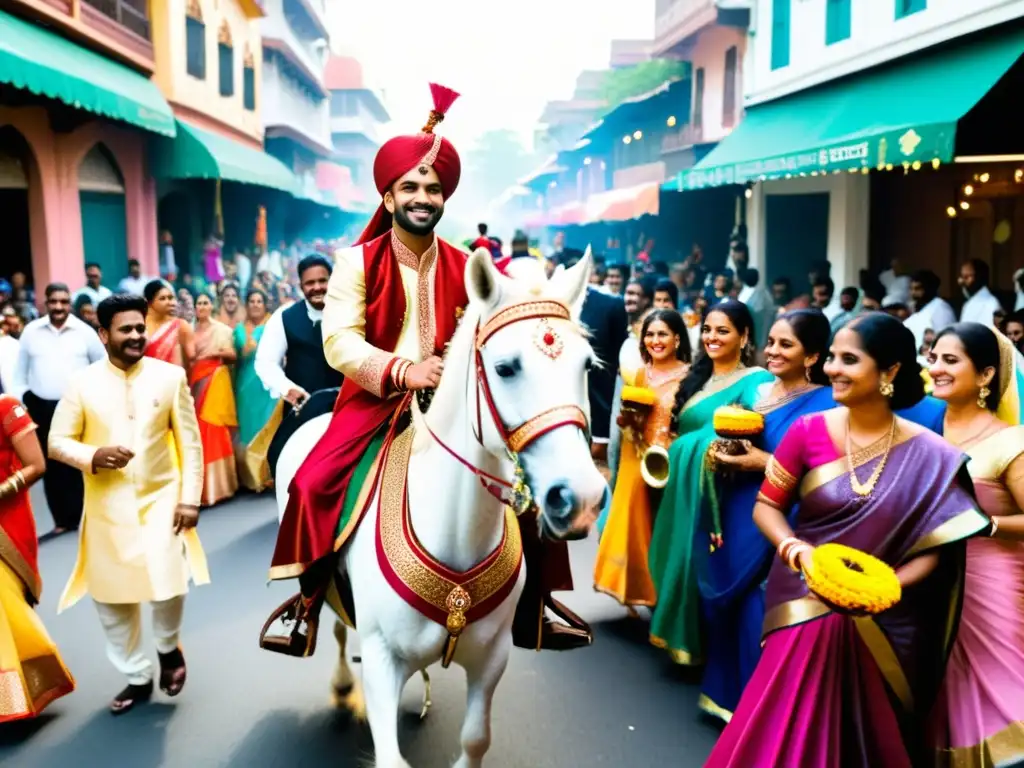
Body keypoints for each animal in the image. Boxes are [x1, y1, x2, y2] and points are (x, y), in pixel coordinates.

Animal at [274, 249, 606, 765]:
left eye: (587, 365)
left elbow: (475, 739)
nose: (581, 497)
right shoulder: (382, 660)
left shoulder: (492, 657)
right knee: (334, 625)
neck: (453, 531)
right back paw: (341, 681)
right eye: (506, 368)